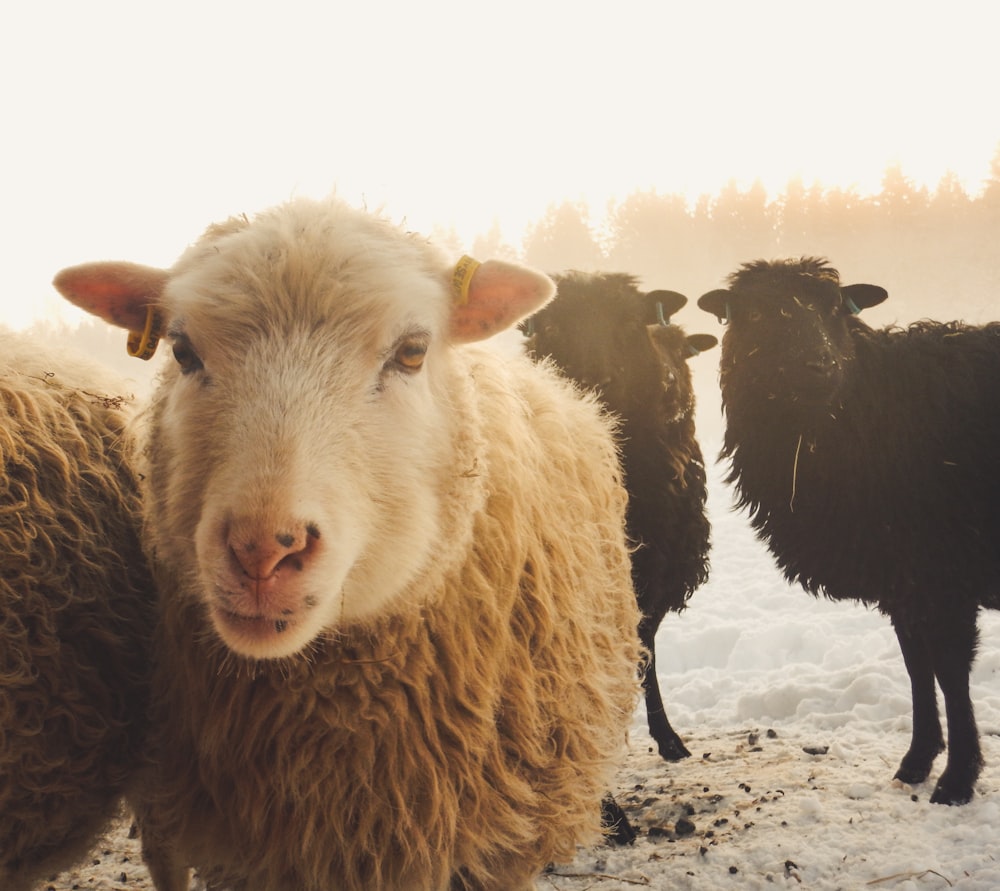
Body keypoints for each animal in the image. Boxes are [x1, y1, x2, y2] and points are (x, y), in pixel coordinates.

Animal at [524, 270, 720, 760]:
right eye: (548, 326)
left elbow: (643, 644)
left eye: (629, 324)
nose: (595, 380)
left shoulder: (657, 564)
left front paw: (666, 736)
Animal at [696, 254, 1000, 804]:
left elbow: (950, 671)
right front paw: (917, 760)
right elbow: (917, 666)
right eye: (757, 313)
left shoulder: (943, 575)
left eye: (835, 308)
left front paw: (957, 778)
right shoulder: (903, 581)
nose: (819, 365)